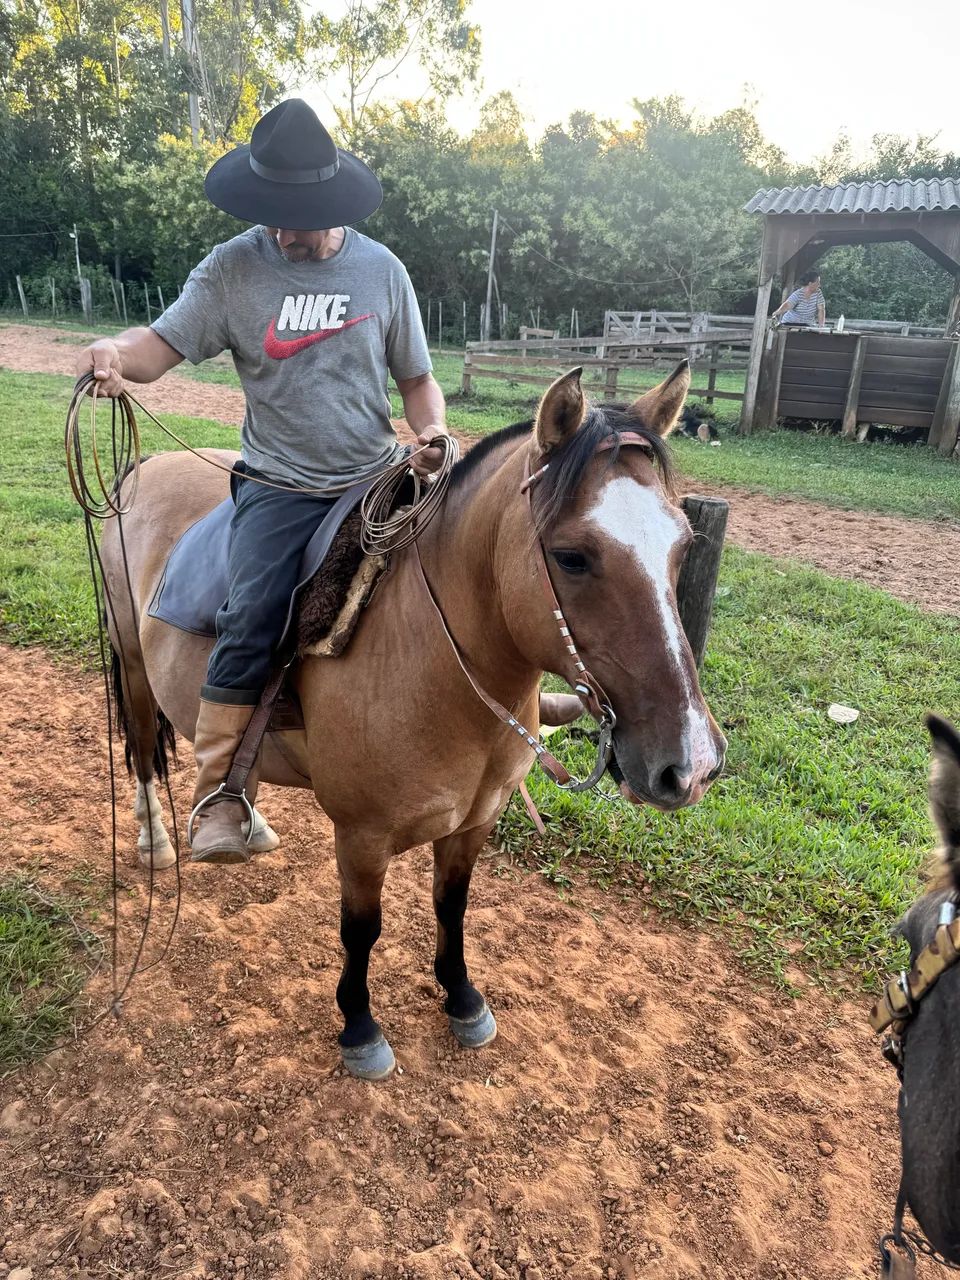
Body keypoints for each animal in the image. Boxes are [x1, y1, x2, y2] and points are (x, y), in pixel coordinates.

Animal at [101, 363, 727, 1079]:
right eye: (572, 556)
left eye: (683, 547)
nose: (692, 764)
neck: (435, 659)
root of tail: (142, 467)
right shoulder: (361, 836)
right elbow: (361, 930)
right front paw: (359, 1026)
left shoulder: (476, 820)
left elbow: (451, 906)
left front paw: (462, 997)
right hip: (133, 664)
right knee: (143, 747)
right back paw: (157, 839)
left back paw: (242, 819)